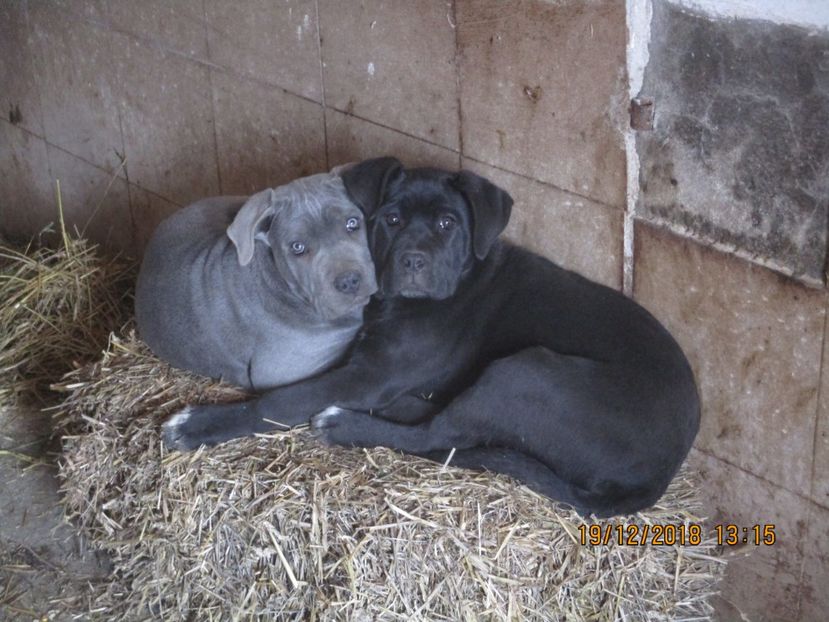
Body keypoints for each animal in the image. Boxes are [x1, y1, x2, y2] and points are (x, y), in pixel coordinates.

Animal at [167, 158, 700, 520]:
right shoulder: (369, 366)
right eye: (391, 219)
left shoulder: (370, 374)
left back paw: (348, 424)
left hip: (527, 372)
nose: (413, 261)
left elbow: (281, 400)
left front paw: (200, 424)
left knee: (439, 435)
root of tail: (662, 473)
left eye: (448, 223)